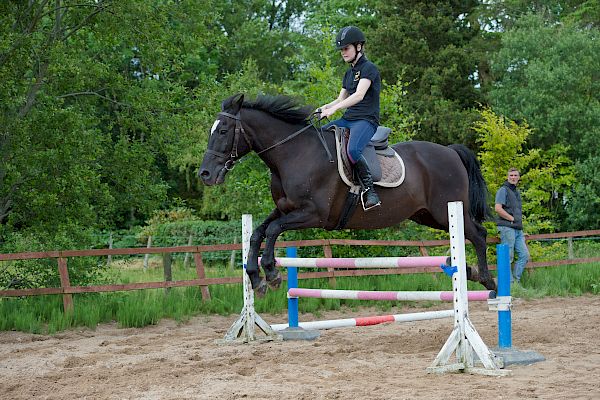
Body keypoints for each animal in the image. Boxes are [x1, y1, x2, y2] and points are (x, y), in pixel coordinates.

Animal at [199, 93, 494, 294]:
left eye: (223, 131)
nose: (205, 174)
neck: (295, 154)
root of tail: (451, 151)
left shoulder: (314, 215)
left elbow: (272, 231)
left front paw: (271, 273)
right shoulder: (284, 208)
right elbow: (258, 233)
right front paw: (255, 277)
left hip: (446, 210)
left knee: (478, 234)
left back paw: (486, 279)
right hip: (427, 215)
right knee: (467, 235)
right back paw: (466, 269)